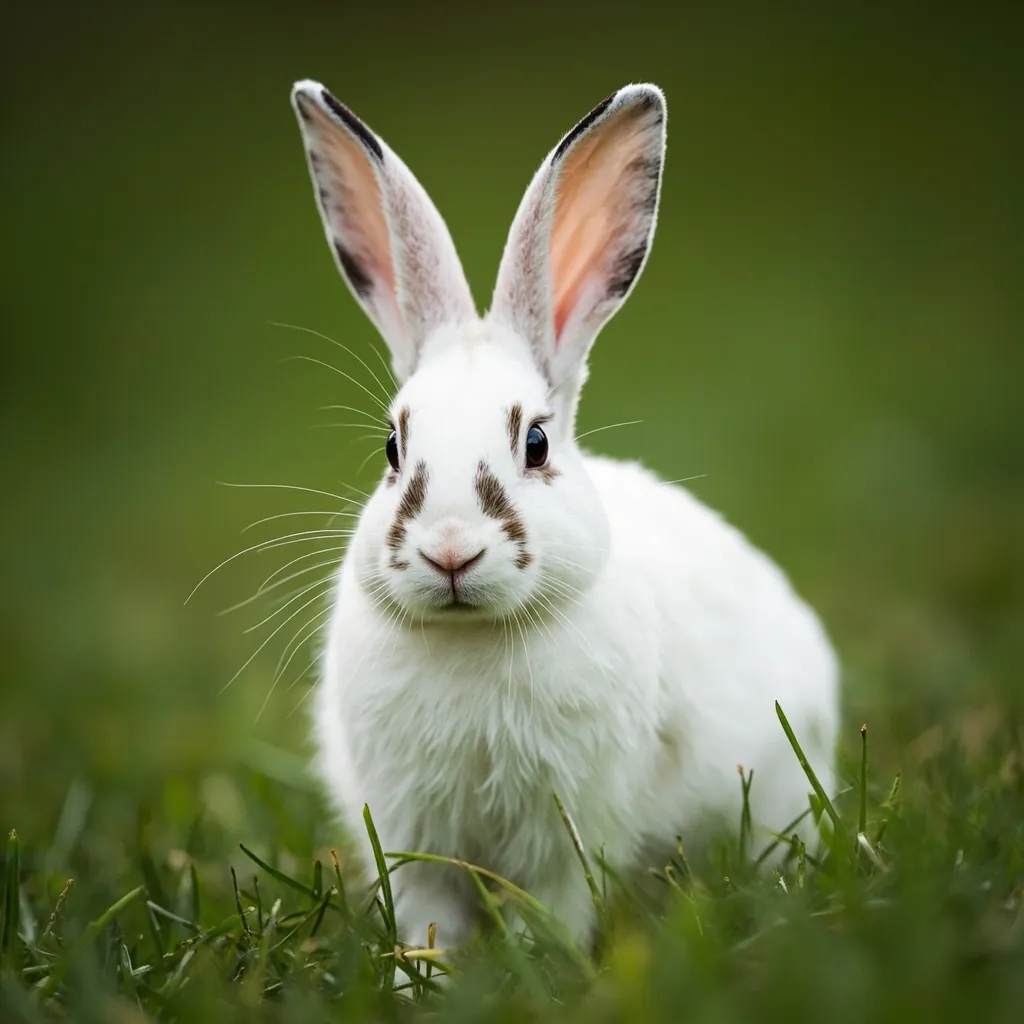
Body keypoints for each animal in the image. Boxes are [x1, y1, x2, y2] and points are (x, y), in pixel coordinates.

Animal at [289, 79, 840, 953]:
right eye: (391, 447)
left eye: (537, 442)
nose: (451, 551)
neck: (472, 641)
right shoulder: (412, 830)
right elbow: (429, 908)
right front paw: (429, 969)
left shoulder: (569, 826)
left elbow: (552, 901)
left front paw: (532, 958)